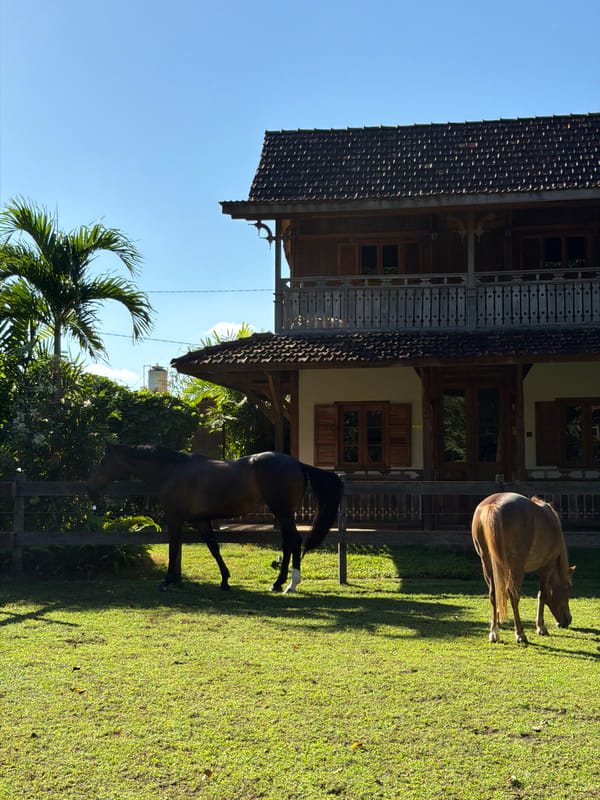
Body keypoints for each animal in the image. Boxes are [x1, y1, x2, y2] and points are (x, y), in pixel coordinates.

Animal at [87, 443, 343, 593]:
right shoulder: (201, 521)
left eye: (102, 462)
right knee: (287, 543)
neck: (174, 472)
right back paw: (277, 583)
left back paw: (291, 584)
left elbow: (173, 548)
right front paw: (225, 580)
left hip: (283, 513)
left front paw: (167, 581)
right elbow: (214, 547)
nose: (90, 489)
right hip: (282, 515)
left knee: (295, 542)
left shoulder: (175, 519)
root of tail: (297, 463)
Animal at [471, 492, 573, 644]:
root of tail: (493, 505)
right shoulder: (546, 567)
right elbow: (542, 594)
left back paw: (494, 632)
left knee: (493, 593)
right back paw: (520, 634)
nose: (567, 620)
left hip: (487, 562)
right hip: (516, 566)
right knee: (513, 595)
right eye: (567, 589)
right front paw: (541, 627)